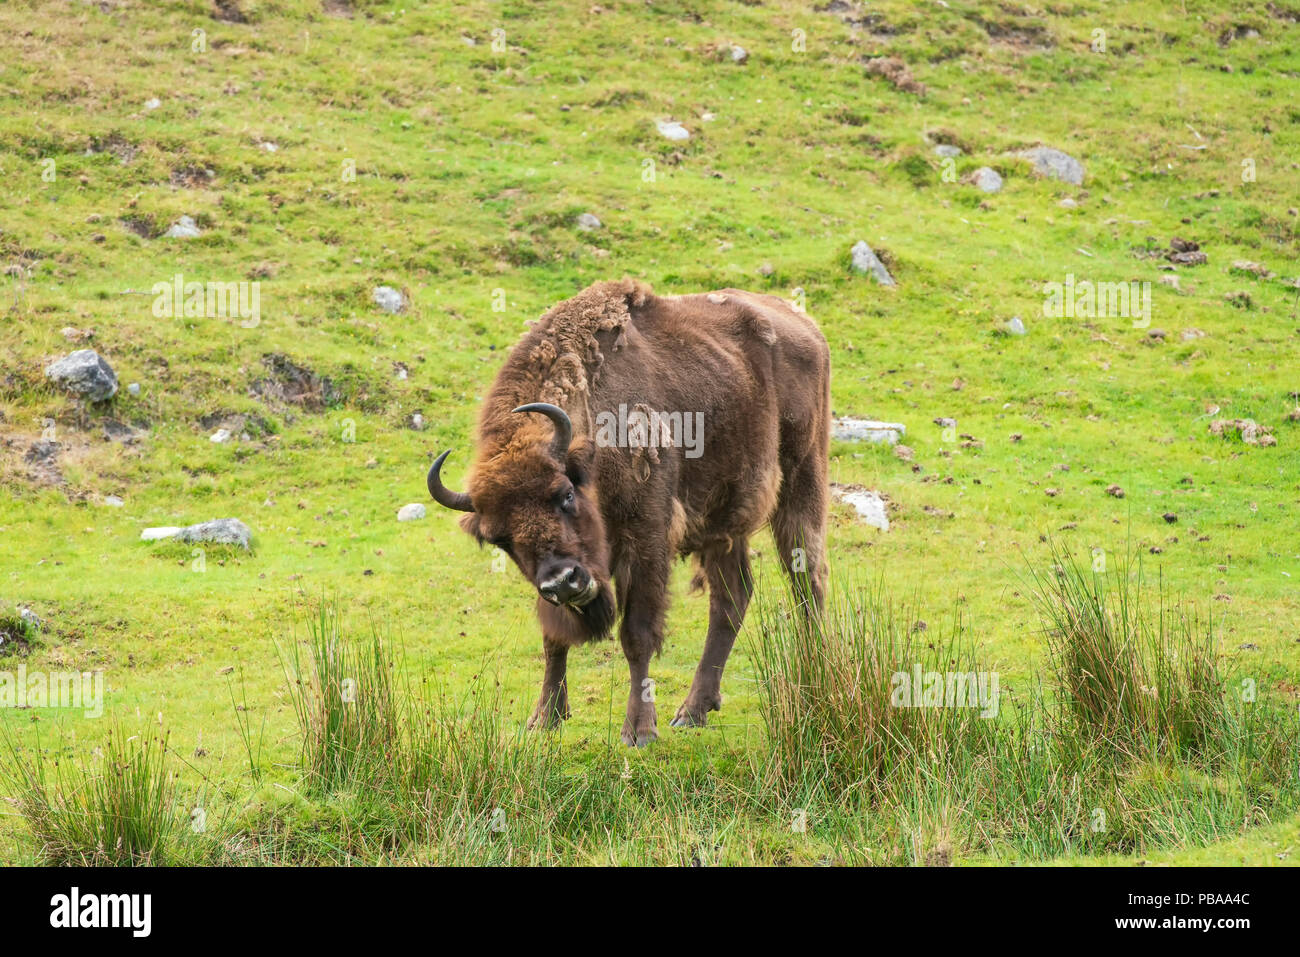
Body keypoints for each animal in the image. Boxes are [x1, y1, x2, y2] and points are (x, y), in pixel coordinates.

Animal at [431, 280, 826, 743]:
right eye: (500, 539)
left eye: (565, 495)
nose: (564, 582)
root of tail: (803, 324)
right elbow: (553, 638)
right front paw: (544, 719)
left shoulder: (646, 539)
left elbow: (636, 634)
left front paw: (638, 731)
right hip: (725, 521)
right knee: (733, 595)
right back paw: (693, 710)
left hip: (802, 480)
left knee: (808, 579)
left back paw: (814, 674)